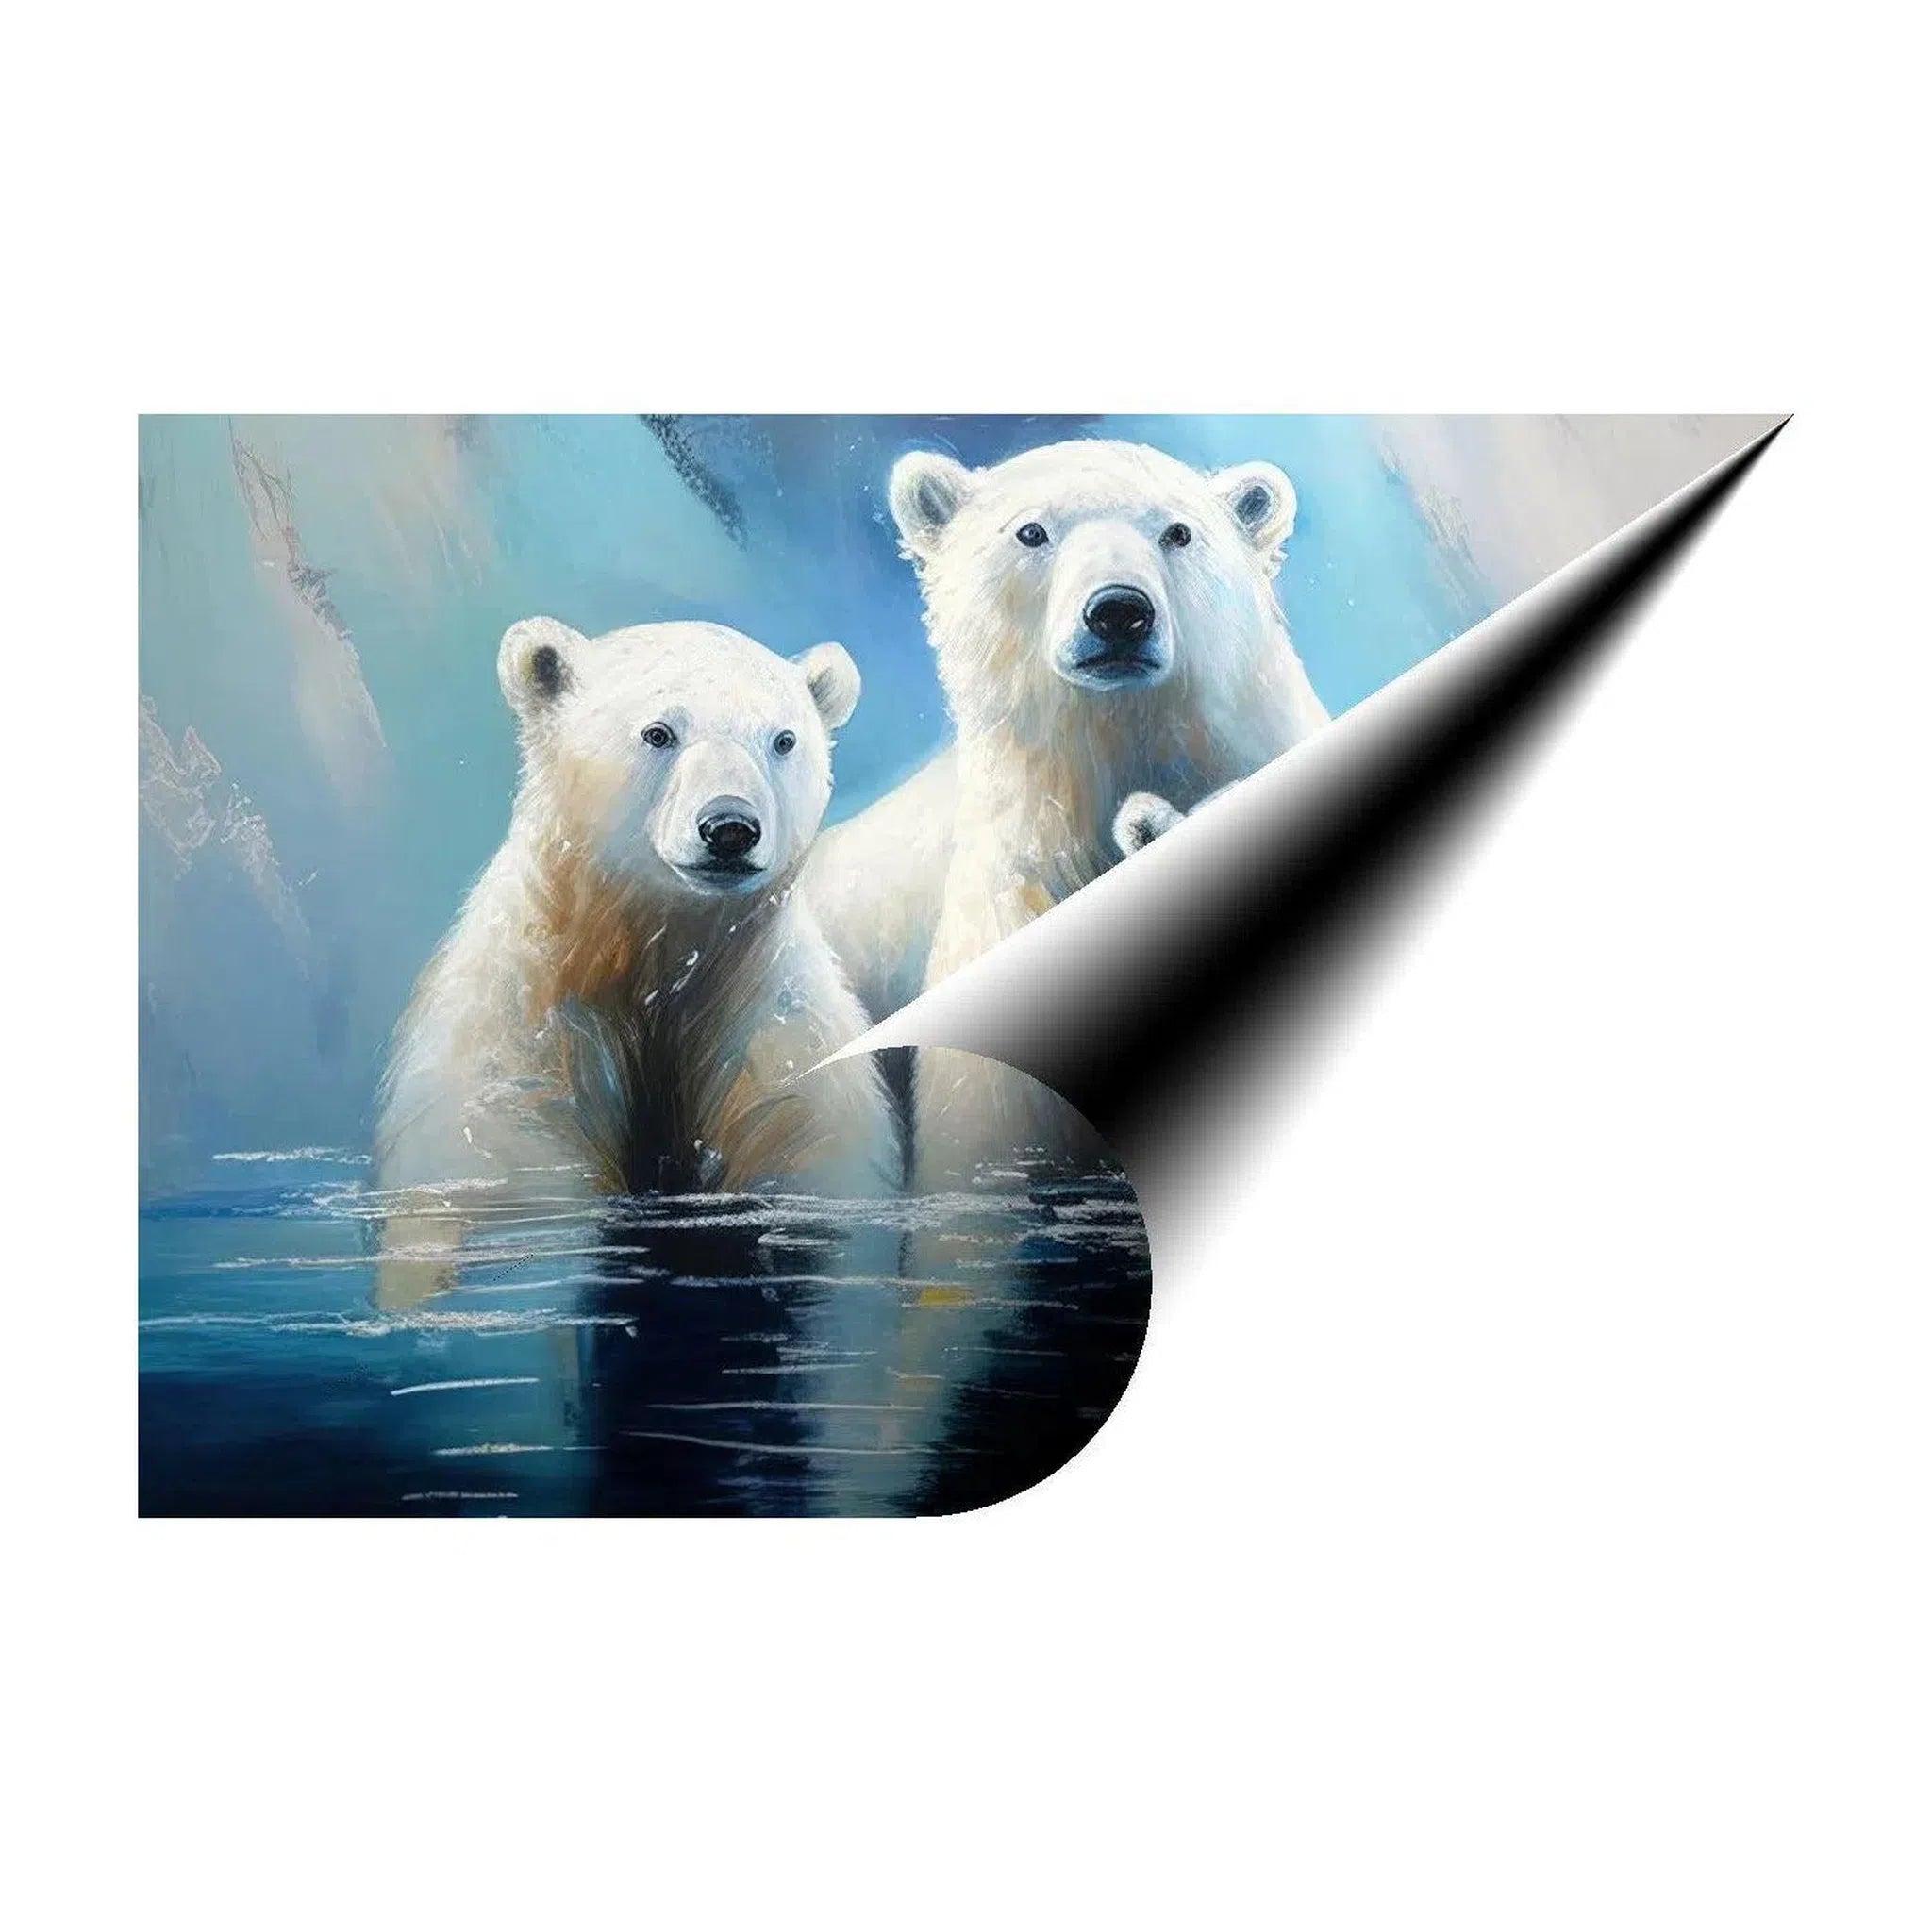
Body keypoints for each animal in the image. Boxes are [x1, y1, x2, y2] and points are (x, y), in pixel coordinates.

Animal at [374, 616, 899, 1302]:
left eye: (782, 739)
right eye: (659, 732)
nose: (730, 828)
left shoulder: (777, 1040)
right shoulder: (520, 1037)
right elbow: (506, 1177)